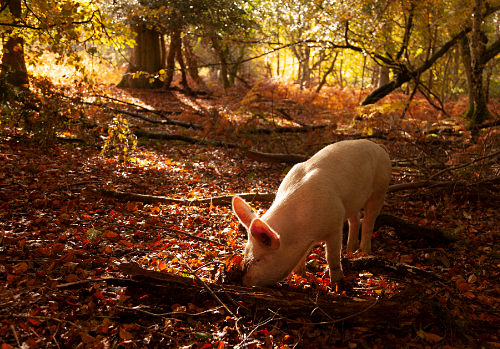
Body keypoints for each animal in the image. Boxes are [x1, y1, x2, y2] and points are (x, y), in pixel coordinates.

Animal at [232, 139, 392, 286]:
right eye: (245, 252)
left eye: (258, 259)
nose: (243, 281)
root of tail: (379, 147)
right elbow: (301, 258)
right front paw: (301, 277)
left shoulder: (335, 225)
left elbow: (332, 256)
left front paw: (337, 283)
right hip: (354, 200)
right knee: (355, 220)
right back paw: (351, 249)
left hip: (380, 189)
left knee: (369, 221)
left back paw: (364, 251)